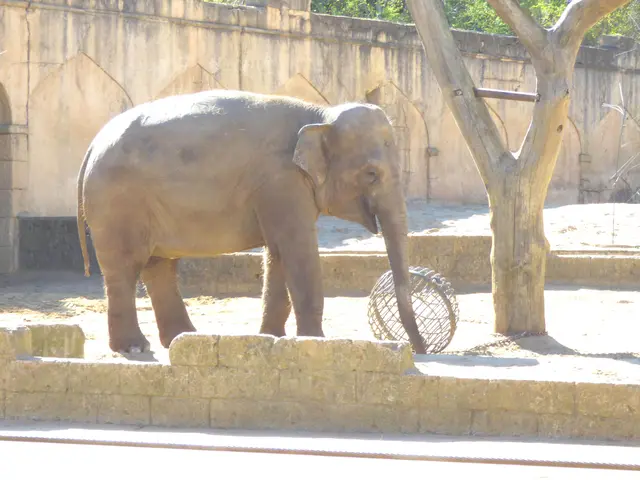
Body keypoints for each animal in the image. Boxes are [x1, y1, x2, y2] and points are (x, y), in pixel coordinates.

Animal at [76, 89, 426, 355]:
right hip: (117, 204)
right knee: (125, 267)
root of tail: (92, 145)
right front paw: (315, 342)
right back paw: (134, 347)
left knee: (159, 266)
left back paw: (180, 338)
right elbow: (296, 248)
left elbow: (278, 252)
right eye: (372, 174)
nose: (420, 349)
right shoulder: (281, 181)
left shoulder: (280, 189)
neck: (320, 115)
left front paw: (272, 338)